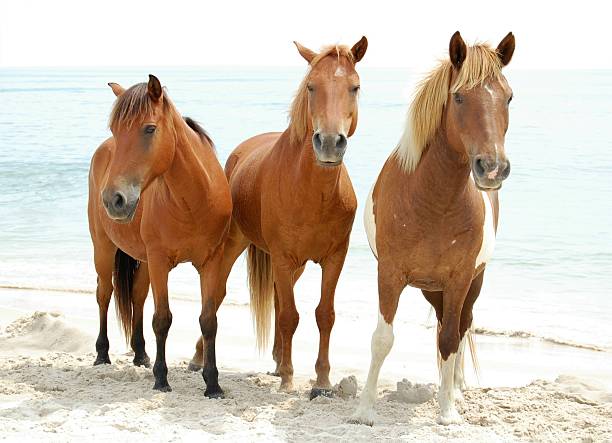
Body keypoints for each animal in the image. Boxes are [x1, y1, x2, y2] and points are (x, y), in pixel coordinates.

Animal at [85, 74, 230, 398]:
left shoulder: (211, 262)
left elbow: (209, 320)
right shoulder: (161, 261)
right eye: (115, 129)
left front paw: (212, 384)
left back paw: (140, 354)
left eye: (149, 129)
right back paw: (102, 354)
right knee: (104, 293)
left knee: (137, 297)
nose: (114, 199)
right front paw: (162, 380)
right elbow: (162, 319)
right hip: (104, 248)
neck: (193, 202)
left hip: (144, 261)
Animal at [189, 38, 366, 398]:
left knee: (274, 296)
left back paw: (276, 358)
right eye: (311, 86)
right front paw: (287, 378)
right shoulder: (283, 258)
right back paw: (200, 359)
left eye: (354, 87)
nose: (329, 143)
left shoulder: (334, 258)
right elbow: (288, 316)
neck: (312, 192)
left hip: (295, 266)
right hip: (235, 245)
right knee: (217, 296)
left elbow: (324, 315)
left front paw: (322, 381)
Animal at [350, 32, 516, 426]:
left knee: (460, 327)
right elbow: (382, 339)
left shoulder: (459, 279)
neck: (432, 202)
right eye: (458, 96)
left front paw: (448, 411)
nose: (493, 168)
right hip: (430, 288)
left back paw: (455, 388)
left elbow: (451, 340)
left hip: (470, 284)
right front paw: (364, 410)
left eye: (508, 97)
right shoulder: (390, 274)